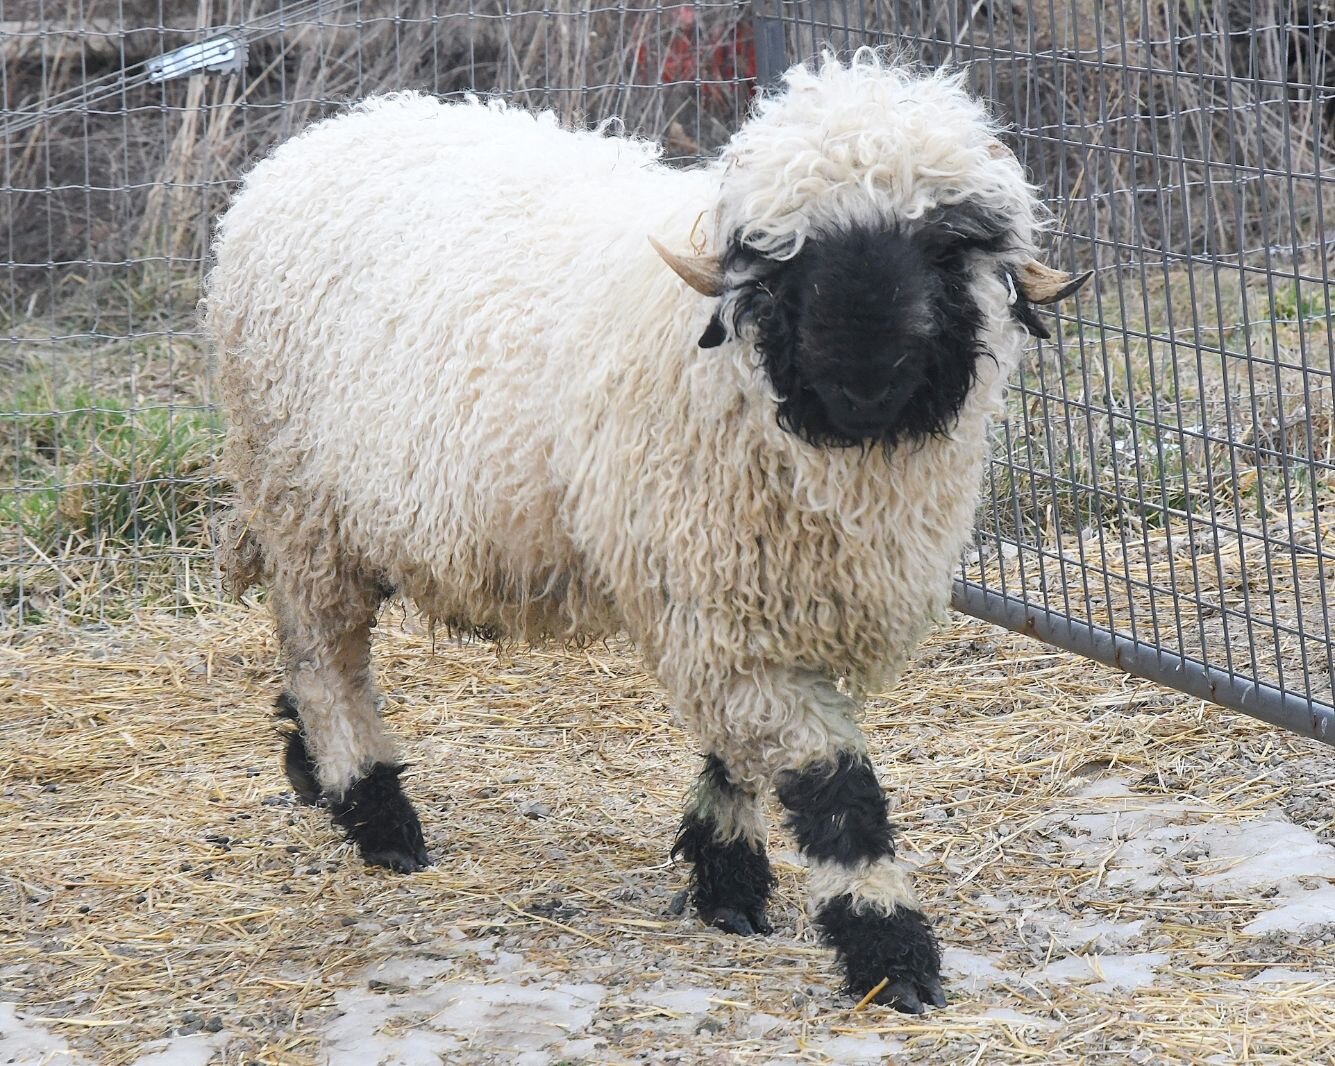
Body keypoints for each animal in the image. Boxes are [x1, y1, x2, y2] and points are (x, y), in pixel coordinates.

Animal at [205, 52, 1084, 1019]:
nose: (864, 380)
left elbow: (736, 752)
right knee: (327, 661)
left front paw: (727, 880)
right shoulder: (713, 592)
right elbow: (833, 784)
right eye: (786, 255)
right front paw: (887, 947)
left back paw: (310, 770)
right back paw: (375, 812)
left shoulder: (744, 592)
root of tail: (314, 141)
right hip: (302, 503)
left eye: (947, 246)